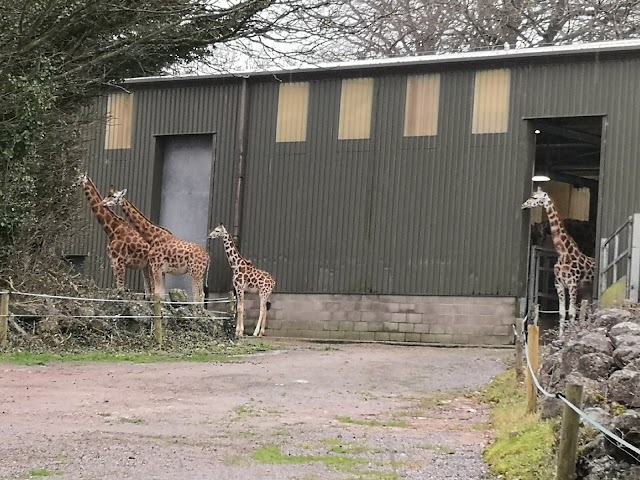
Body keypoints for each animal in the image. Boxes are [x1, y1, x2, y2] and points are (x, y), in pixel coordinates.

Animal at [520, 186, 596, 336]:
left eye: (535, 198)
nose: (523, 205)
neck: (563, 253)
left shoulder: (573, 285)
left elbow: (571, 312)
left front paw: (570, 335)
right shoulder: (559, 285)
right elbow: (561, 313)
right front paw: (560, 337)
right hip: (586, 290)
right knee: (588, 310)